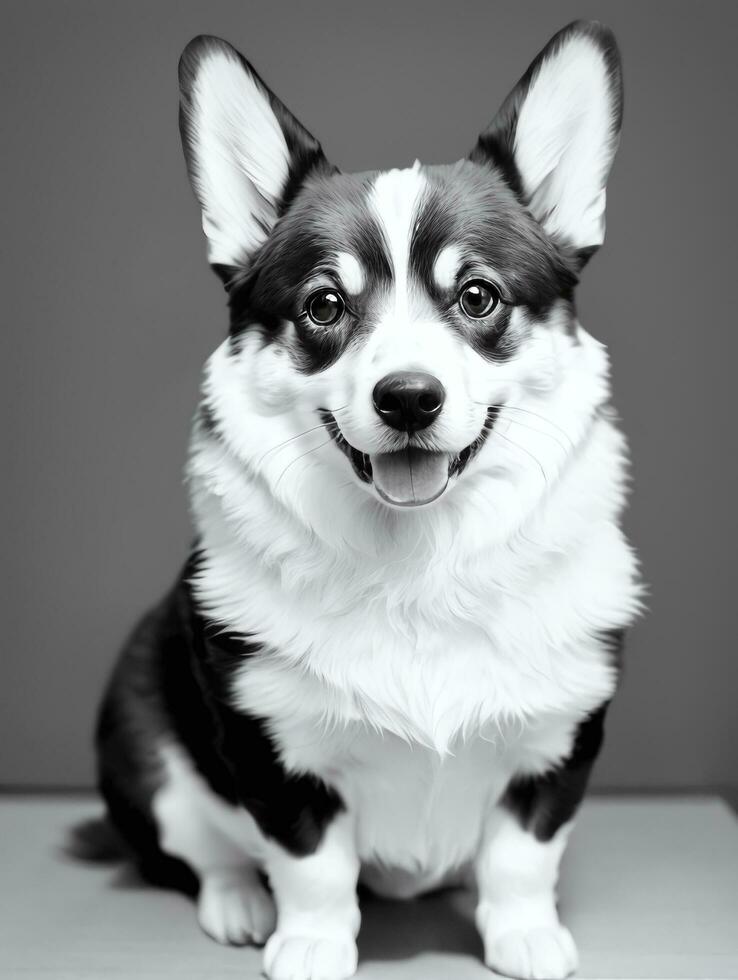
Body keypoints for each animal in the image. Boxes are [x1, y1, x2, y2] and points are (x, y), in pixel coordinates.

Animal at [95, 23, 640, 980]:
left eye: (477, 296)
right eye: (324, 306)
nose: (409, 398)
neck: (417, 556)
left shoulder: (559, 737)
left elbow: (523, 855)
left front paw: (525, 933)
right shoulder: (271, 748)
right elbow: (310, 863)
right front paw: (311, 945)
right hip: (141, 749)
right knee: (201, 849)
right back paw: (239, 903)